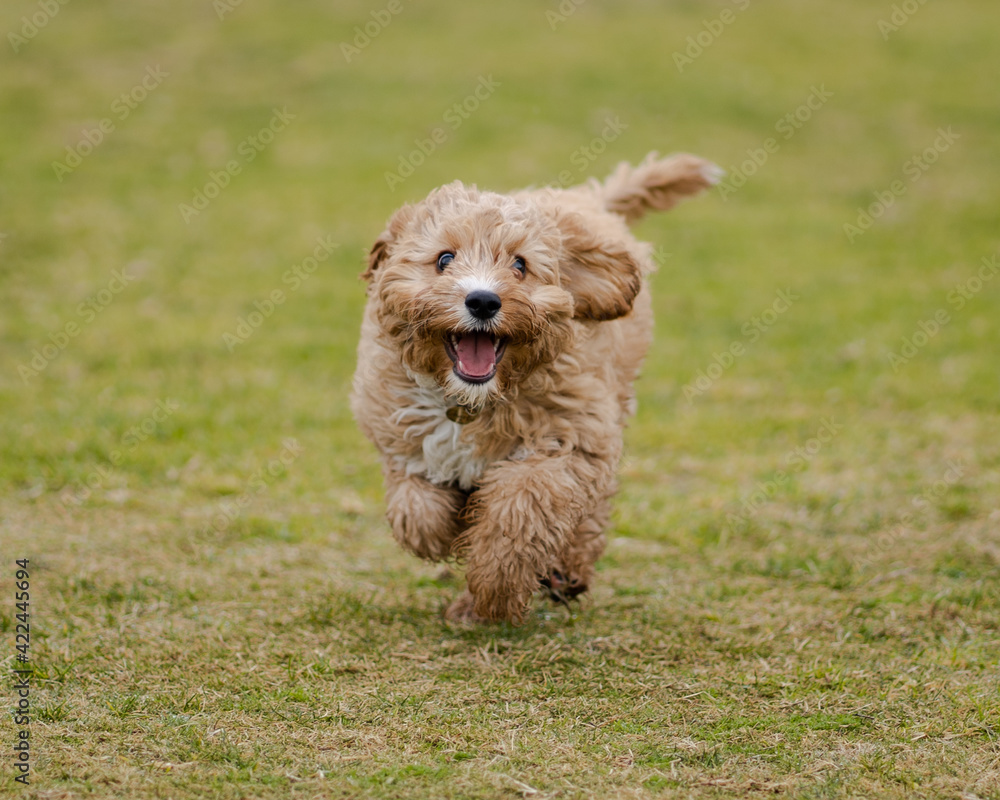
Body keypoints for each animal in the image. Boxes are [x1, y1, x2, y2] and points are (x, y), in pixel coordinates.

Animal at [352, 152, 720, 624]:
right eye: (444, 258)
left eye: (520, 265)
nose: (483, 301)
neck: (470, 403)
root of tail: (586, 199)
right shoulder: (399, 434)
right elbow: (416, 512)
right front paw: (450, 529)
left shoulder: (567, 441)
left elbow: (519, 512)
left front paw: (494, 590)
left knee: (590, 510)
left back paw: (565, 570)